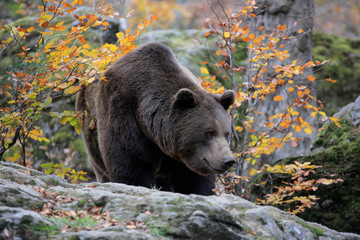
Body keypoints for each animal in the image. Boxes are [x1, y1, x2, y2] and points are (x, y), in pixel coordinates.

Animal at [76, 42, 236, 195]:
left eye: (226, 133)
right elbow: (130, 165)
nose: (228, 160)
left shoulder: (186, 156)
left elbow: (195, 180)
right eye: (209, 133)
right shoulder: (122, 111)